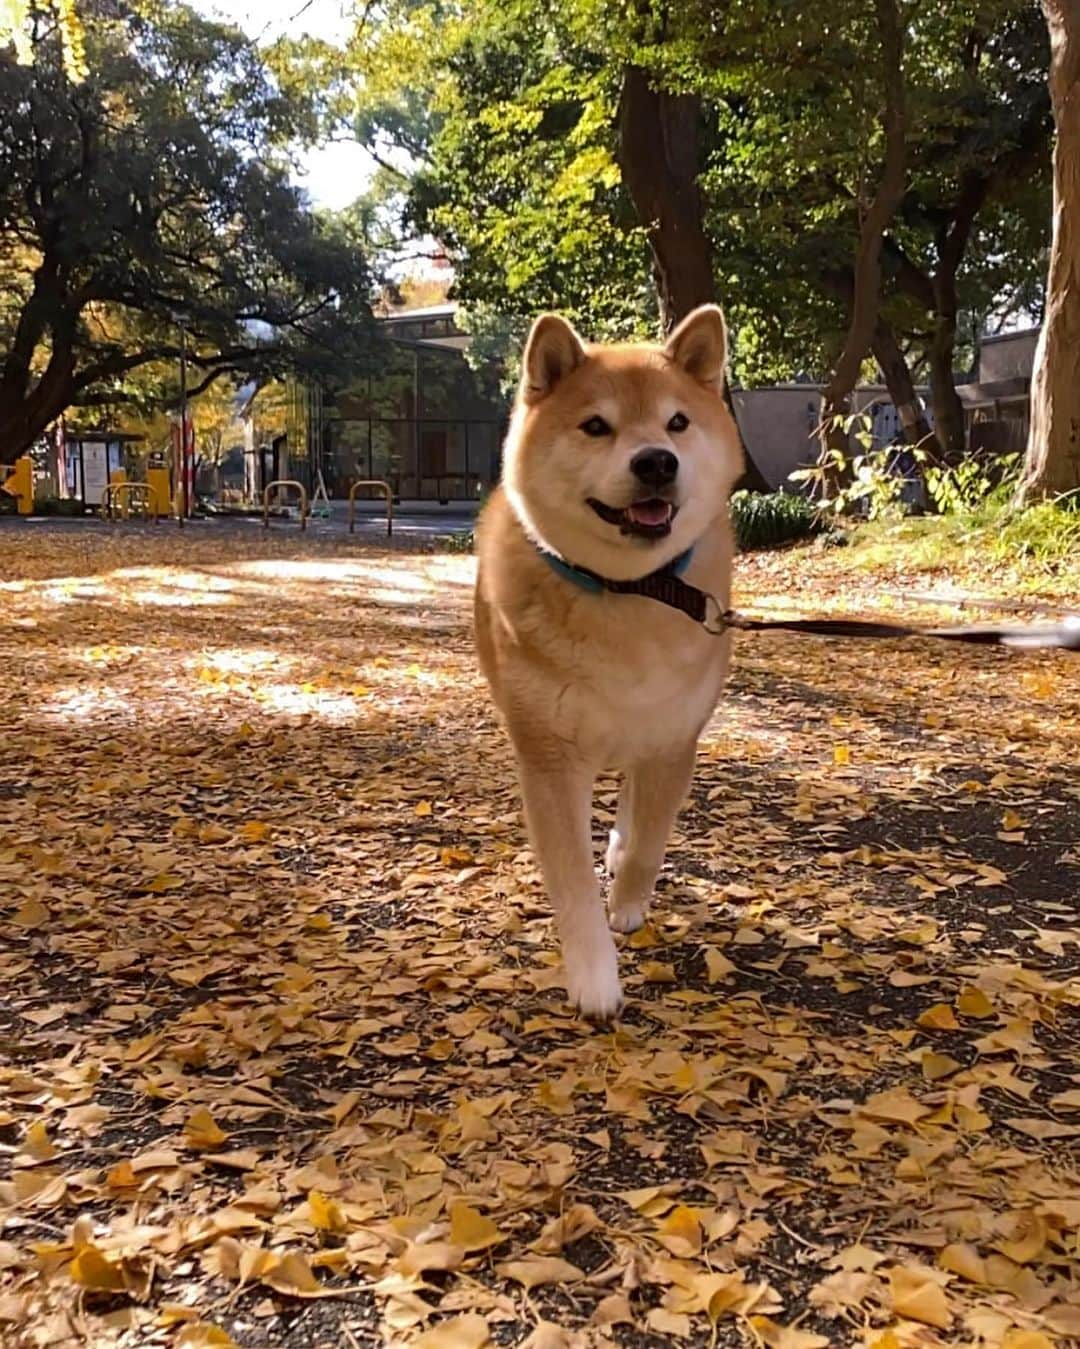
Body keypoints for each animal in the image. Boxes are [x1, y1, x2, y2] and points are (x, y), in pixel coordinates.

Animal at [477, 306, 744, 1014]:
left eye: (677, 422)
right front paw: (595, 976)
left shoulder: (672, 740)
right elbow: (571, 883)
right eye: (596, 425)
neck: (631, 591)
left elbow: (649, 839)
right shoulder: (549, 761)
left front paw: (626, 903)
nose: (656, 462)